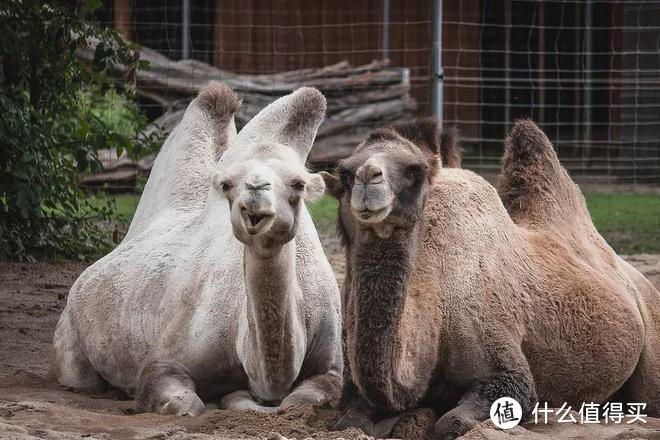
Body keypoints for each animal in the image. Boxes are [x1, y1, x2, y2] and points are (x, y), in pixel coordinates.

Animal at [49, 81, 342, 416]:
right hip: (71, 339)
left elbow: (302, 399)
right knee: (79, 376)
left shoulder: (330, 366)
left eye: (299, 184)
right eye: (227, 184)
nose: (255, 191)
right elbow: (185, 403)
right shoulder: (165, 360)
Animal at [320, 118, 660, 438]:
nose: (368, 177)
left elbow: (456, 420)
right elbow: (350, 420)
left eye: (414, 170)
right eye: (345, 173)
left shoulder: (497, 352)